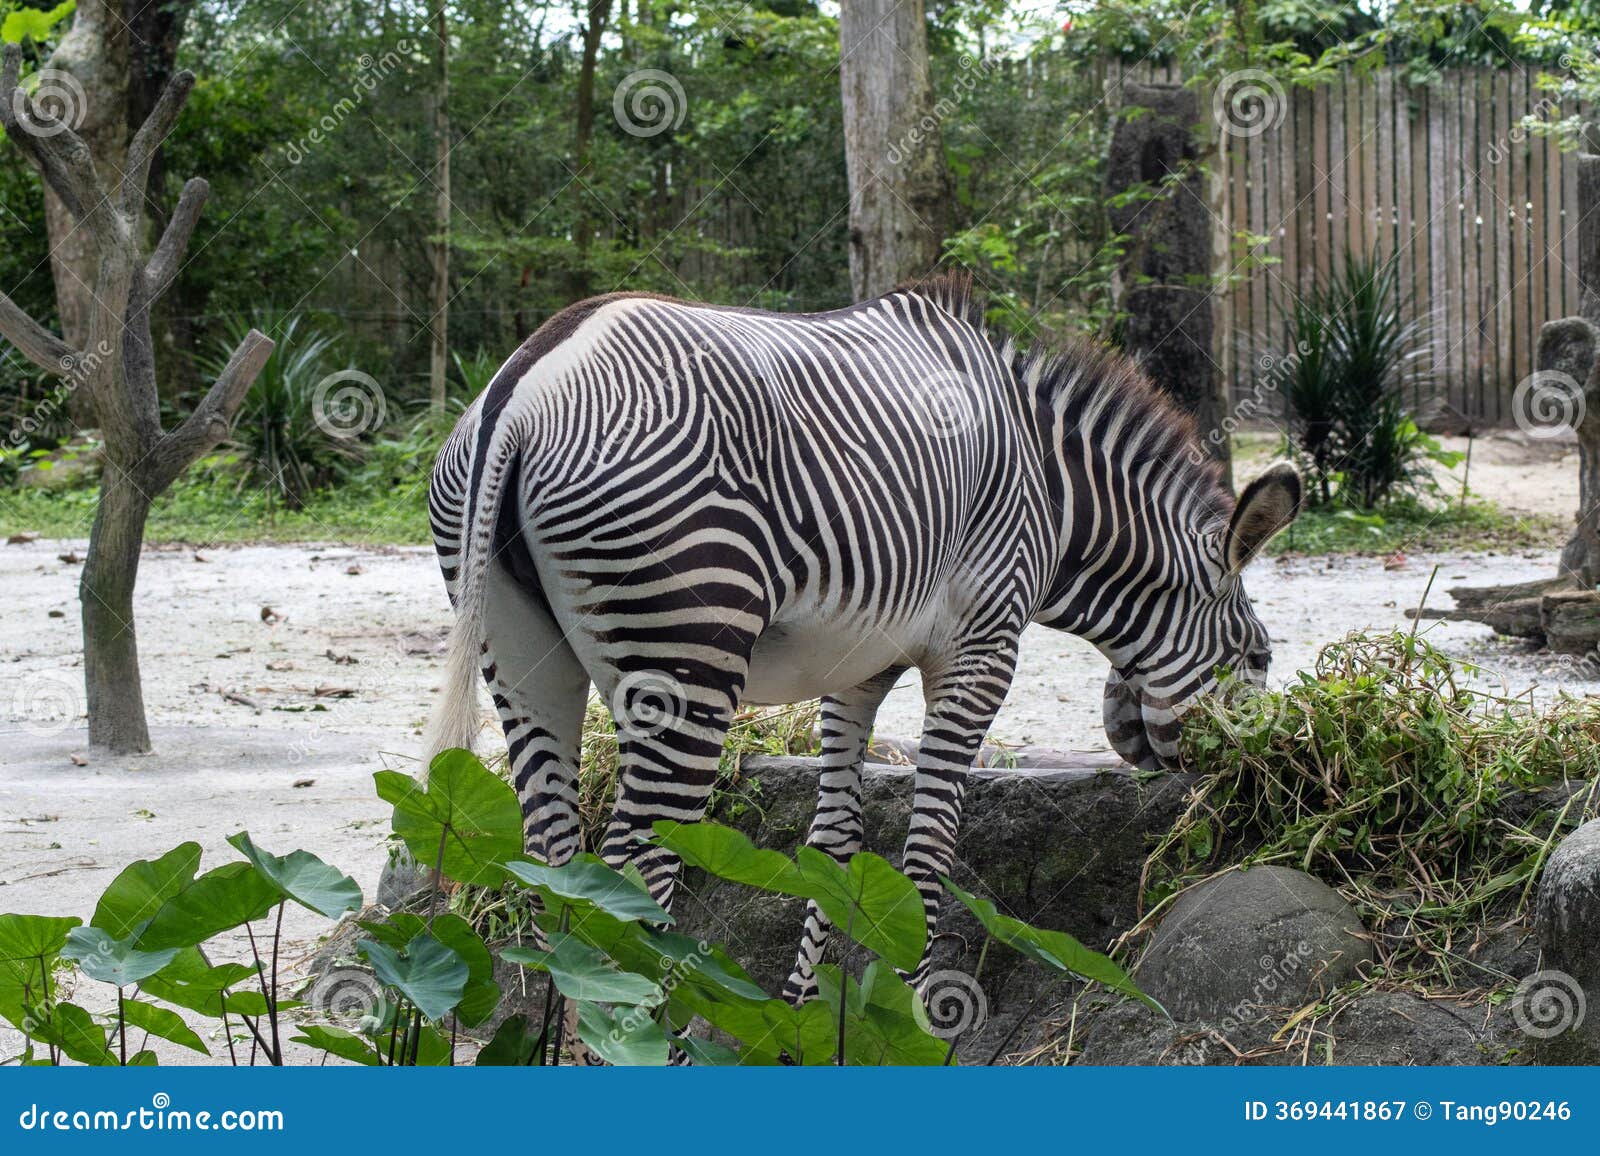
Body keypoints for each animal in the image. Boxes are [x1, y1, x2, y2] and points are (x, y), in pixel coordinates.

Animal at [422, 272, 1301, 1005]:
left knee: (556, 870)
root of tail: (522, 388)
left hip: (521, 660)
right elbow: (927, 852)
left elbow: (835, 846)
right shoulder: (982, 651)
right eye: (1259, 657)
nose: (1244, 787)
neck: (1050, 497)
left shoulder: (855, 671)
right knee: (632, 875)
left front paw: (803, 1019)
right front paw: (916, 1020)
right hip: (689, 661)